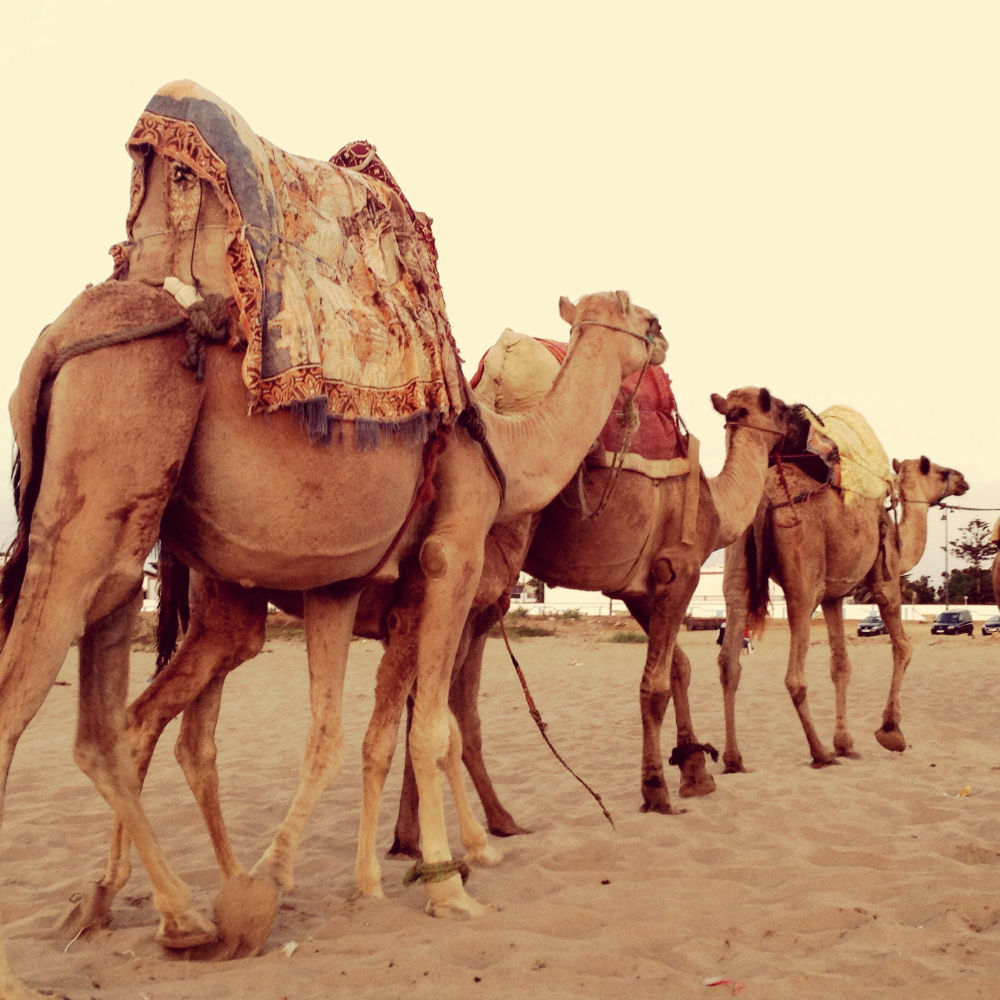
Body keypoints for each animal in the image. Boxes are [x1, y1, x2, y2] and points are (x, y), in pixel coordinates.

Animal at [0, 275, 665, 998]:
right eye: (637, 315)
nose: (661, 336)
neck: (502, 454)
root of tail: (60, 335)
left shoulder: (368, 598)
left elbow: (388, 736)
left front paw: (397, 871)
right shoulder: (448, 566)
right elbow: (424, 732)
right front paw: (446, 884)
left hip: (179, 574)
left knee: (146, 723)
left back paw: (138, 903)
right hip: (100, 501)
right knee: (44, 702)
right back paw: (170, 915)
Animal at [716, 453, 969, 772]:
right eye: (941, 471)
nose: (963, 480)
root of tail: (764, 497)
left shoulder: (833, 597)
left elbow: (840, 666)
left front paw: (845, 743)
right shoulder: (885, 581)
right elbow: (903, 646)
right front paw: (890, 731)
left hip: (737, 558)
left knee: (729, 659)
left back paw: (733, 758)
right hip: (802, 580)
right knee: (794, 674)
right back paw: (820, 753)